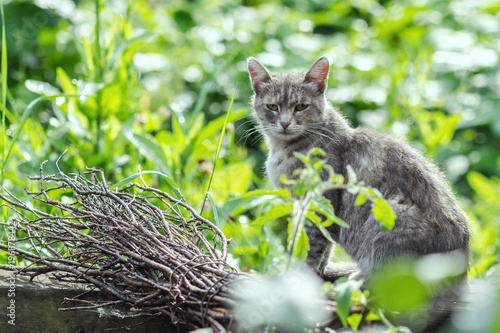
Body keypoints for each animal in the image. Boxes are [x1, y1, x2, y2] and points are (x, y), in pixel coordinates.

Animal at [248, 56, 470, 278]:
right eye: (272, 106)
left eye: (301, 106)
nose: (285, 123)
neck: (285, 148)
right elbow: (325, 248)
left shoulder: (320, 203)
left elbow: (313, 247)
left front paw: (303, 278)